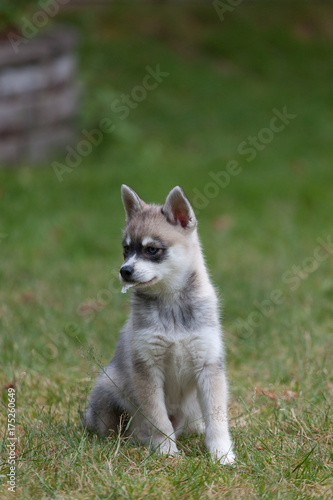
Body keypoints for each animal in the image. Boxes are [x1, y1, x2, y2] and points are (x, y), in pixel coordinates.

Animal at [84, 185, 235, 464]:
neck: (171, 303)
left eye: (151, 249)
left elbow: (217, 417)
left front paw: (222, 453)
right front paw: (167, 451)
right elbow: (158, 419)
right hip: (109, 384)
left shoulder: (209, 365)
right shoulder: (147, 367)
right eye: (126, 249)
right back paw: (135, 441)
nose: (124, 271)